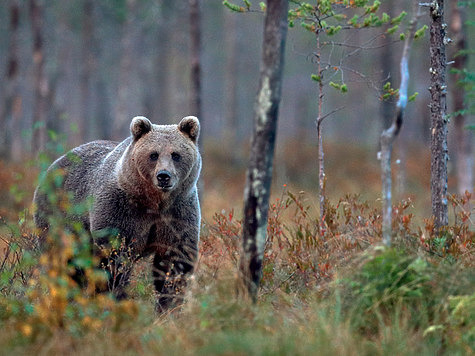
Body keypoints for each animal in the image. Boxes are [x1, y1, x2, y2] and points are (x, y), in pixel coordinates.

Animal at [33, 115, 201, 310]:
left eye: (176, 154)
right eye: (154, 154)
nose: (163, 176)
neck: (154, 202)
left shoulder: (177, 213)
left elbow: (174, 260)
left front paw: (169, 305)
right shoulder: (120, 211)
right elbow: (114, 257)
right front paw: (115, 297)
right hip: (59, 215)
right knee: (66, 261)